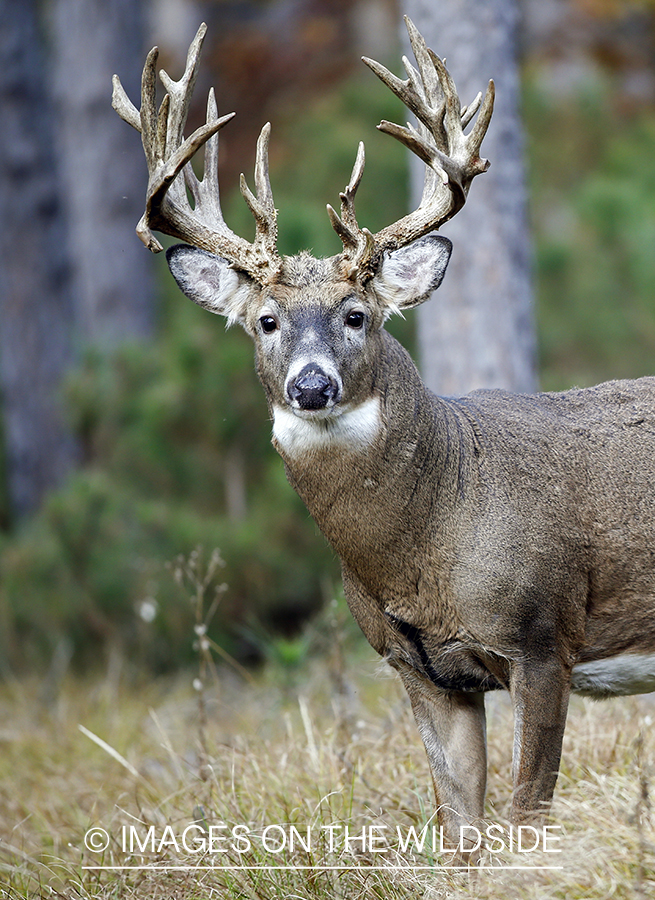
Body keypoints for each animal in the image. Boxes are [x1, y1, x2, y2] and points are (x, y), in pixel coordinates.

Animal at [114, 15, 655, 856]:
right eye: (264, 321)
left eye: (356, 315)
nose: (311, 385)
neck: (426, 546)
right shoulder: (418, 667)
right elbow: (459, 832)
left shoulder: (542, 638)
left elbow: (524, 817)